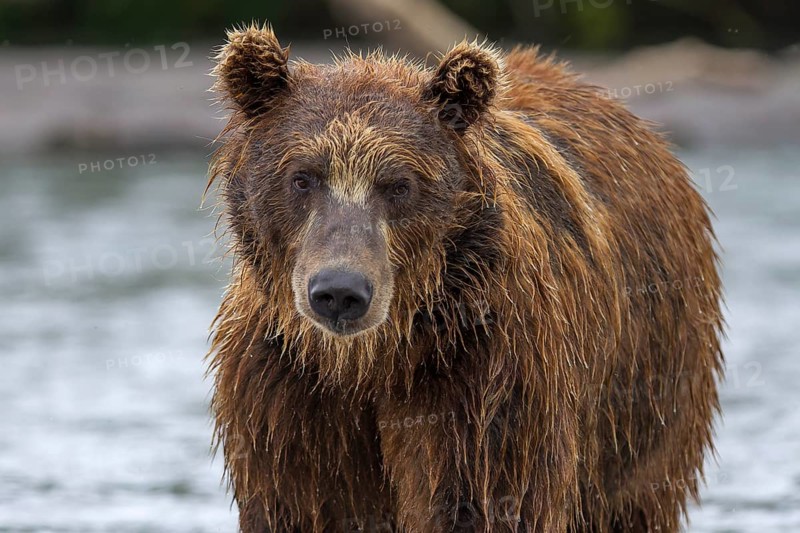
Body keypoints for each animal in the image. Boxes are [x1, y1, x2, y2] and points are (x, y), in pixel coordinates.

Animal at [206, 23, 724, 533]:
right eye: (303, 177)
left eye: (399, 184)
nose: (339, 291)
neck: (370, 360)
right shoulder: (285, 388)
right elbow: (304, 501)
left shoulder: (482, 364)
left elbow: (478, 494)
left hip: (646, 386)